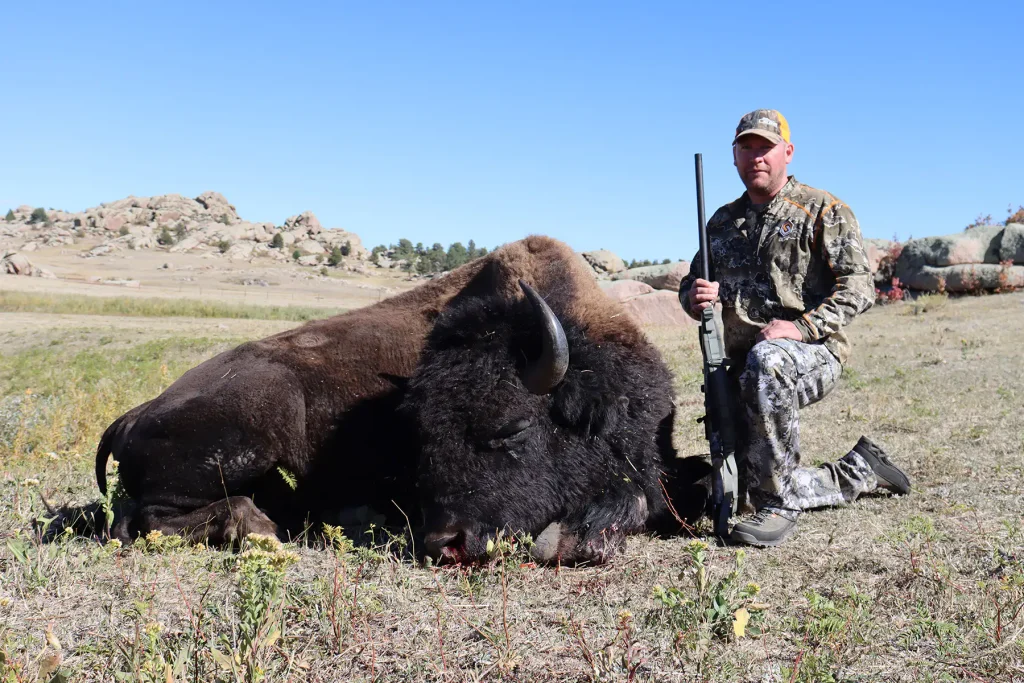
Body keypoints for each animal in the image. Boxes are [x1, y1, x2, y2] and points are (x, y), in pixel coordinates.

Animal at [91, 236, 706, 562]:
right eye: (419, 438)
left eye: (512, 429)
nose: (444, 543)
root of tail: (131, 416)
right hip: (260, 420)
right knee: (143, 520)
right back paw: (261, 528)